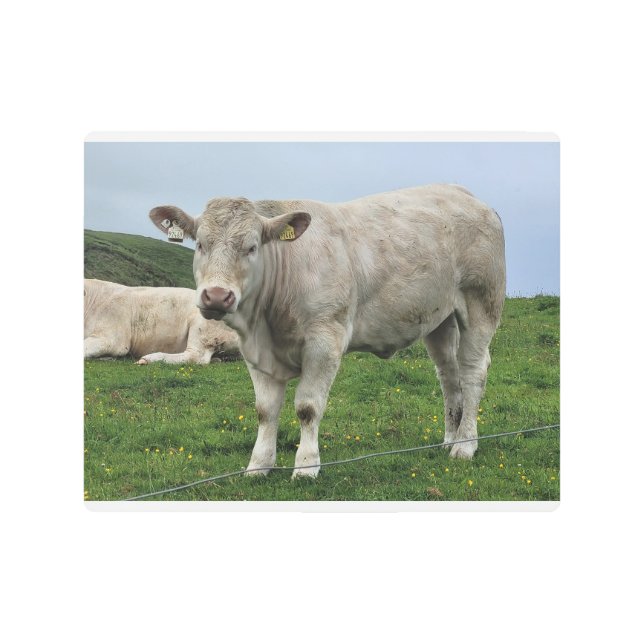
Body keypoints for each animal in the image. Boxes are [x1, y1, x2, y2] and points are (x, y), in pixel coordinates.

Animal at [148, 184, 506, 477]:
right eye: (200, 245)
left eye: (251, 247)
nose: (217, 296)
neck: (266, 324)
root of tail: (469, 196)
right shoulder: (255, 353)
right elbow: (265, 411)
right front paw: (258, 466)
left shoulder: (324, 341)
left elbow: (308, 407)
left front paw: (306, 467)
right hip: (439, 319)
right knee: (449, 376)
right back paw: (448, 440)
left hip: (481, 302)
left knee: (473, 372)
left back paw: (465, 445)